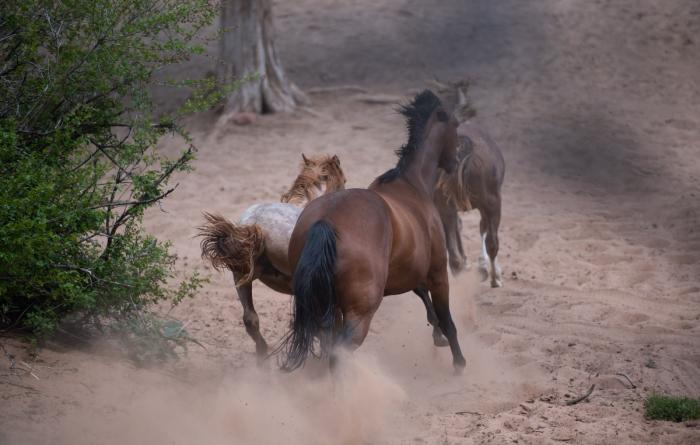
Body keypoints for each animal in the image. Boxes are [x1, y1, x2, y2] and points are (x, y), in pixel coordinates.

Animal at [281, 90, 466, 372]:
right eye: (455, 125)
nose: (455, 159)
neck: (411, 184)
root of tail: (325, 222)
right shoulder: (437, 272)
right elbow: (447, 320)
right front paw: (459, 362)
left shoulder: (409, 269)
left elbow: (423, 296)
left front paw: (438, 336)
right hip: (360, 312)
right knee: (339, 353)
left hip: (325, 306)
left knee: (328, 346)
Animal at [434, 121, 505, 287]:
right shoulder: (488, 205)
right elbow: (483, 229)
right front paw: (484, 267)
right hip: (492, 202)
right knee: (492, 242)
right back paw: (495, 279)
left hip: (444, 203)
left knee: (454, 254)